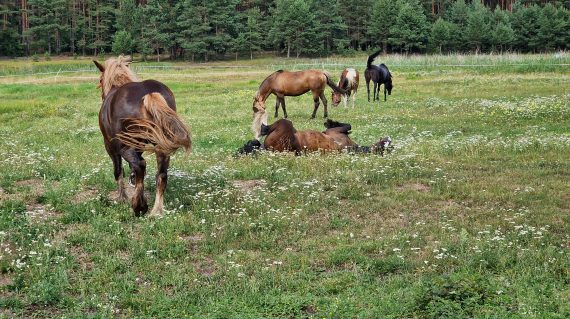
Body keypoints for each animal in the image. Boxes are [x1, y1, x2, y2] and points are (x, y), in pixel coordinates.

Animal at [93, 57, 191, 218]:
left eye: (100, 80)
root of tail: (149, 94)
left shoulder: (110, 146)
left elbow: (118, 171)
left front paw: (122, 197)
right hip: (161, 147)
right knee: (161, 175)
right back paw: (156, 211)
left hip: (125, 146)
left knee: (140, 165)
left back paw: (139, 206)